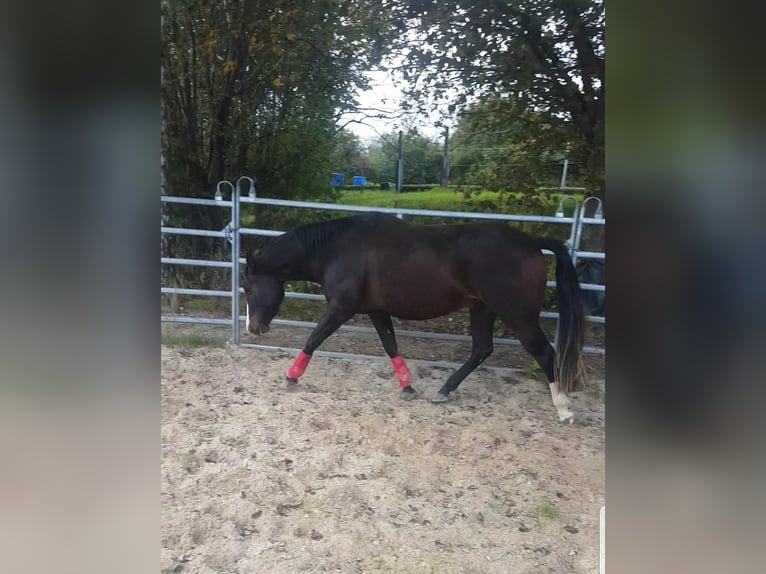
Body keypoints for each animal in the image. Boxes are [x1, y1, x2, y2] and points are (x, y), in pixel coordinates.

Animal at [243, 212, 587, 423]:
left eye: (247, 287)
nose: (252, 328)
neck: (336, 249)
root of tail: (531, 242)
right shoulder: (376, 310)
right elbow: (390, 346)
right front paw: (407, 387)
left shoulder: (341, 307)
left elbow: (314, 338)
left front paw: (291, 377)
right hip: (482, 309)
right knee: (481, 350)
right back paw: (444, 391)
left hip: (518, 315)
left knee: (545, 353)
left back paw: (564, 409)